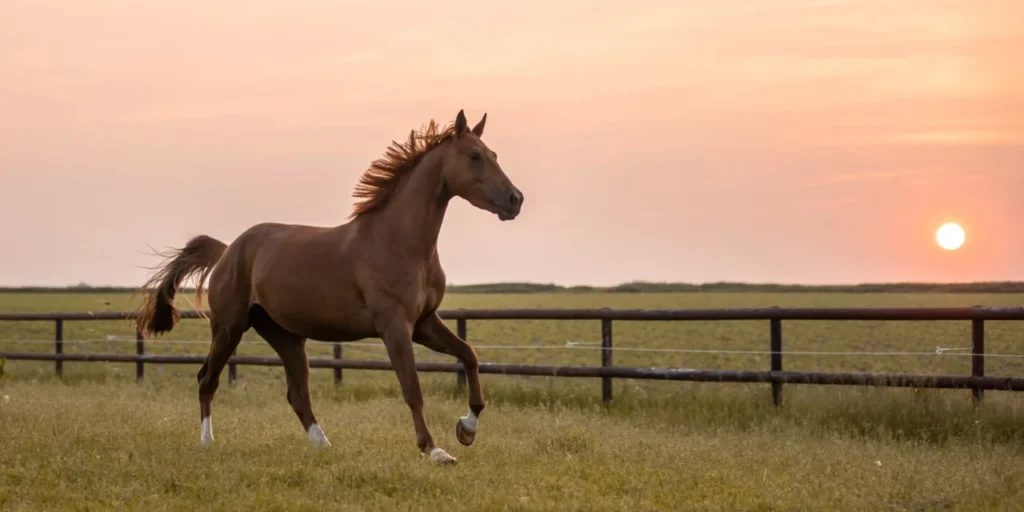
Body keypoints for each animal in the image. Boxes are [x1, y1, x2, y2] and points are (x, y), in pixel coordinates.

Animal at [133, 110, 523, 465]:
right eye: (474, 156)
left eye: (494, 154)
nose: (515, 200)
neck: (400, 242)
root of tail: (228, 250)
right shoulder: (395, 326)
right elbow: (412, 388)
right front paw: (435, 450)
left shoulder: (424, 323)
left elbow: (469, 355)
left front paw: (466, 430)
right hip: (229, 327)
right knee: (206, 379)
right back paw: (207, 442)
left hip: (285, 336)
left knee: (297, 393)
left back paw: (323, 444)